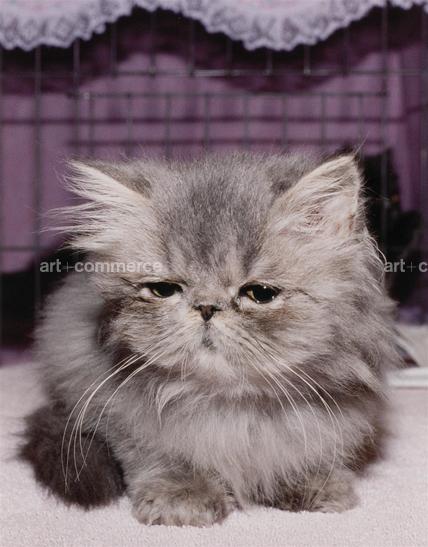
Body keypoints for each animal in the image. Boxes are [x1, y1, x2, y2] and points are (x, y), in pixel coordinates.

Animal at [20, 152, 400, 526]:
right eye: (164, 290)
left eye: (260, 293)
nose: (206, 307)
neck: (230, 405)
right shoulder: (119, 414)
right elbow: (159, 457)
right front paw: (183, 496)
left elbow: (304, 454)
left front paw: (307, 483)